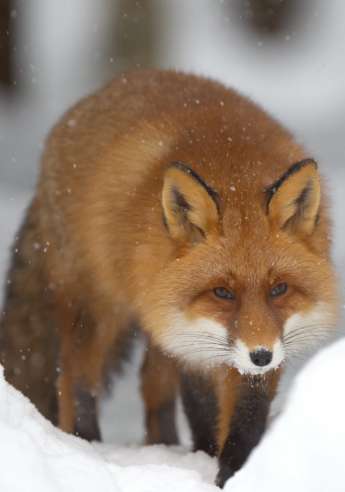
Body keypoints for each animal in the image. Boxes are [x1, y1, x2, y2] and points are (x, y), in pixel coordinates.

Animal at [0, 70, 338, 488]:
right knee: (75, 378)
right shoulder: (193, 339)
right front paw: (211, 460)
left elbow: (246, 415)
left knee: (151, 383)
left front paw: (236, 470)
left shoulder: (248, 342)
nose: (260, 355)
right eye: (222, 292)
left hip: (157, 318)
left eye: (279, 289)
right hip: (99, 308)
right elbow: (203, 405)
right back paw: (86, 443)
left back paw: (165, 445)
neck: (234, 168)